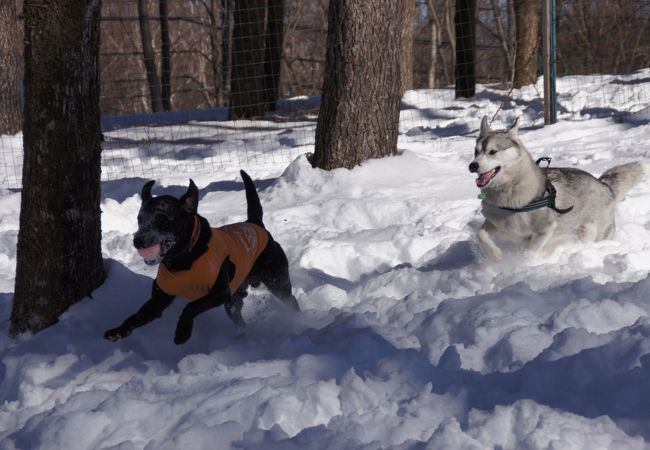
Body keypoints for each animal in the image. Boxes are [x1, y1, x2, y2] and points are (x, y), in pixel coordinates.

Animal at [104, 170, 298, 344]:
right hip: (235, 295)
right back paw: (240, 334)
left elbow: (191, 306)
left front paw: (182, 332)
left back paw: (299, 322)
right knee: (236, 313)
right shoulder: (159, 299)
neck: (184, 259)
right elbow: (136, 316)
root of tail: (256, 224)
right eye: (140, 219)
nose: (138, 240)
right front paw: (118, 330)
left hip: (276, 281)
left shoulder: (218, 293)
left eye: (163, 219)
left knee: (290, 300)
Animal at [466, 116, 644, 260]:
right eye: (476, 152)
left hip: (594, 233)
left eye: (492, 151)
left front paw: (523, 264)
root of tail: (605, 186)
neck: (511, 190)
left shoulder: (545, 229)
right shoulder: (496, 223)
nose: (472, 166)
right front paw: (495, 255)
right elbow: (480, 234)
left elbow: (529, 252)